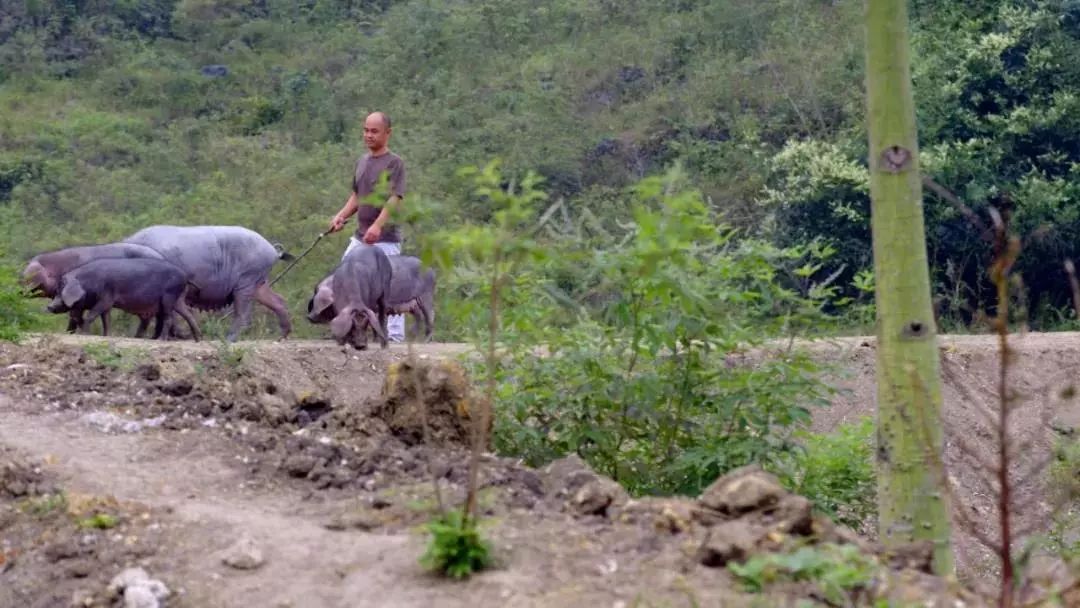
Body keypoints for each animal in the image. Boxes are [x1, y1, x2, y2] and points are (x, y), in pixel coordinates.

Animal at [44, 258, 203, 343]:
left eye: (60, 291)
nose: (49, 307)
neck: (87, 284)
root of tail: (185, 276)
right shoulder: (108, 304)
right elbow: (106, 320)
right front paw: (106, 336)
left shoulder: (106, 298)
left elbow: (92, 315)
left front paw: (83, 334)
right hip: (178, 298)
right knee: (189, 315)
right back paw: (198, 339)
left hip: (168, 297)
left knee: (168, 318)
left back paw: (159, 340)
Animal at [124, 224, 293, 343]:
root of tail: (272, 250)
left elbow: (168, 312)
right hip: (259, 282)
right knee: (279, 301)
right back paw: (281, 337)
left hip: (247, 281)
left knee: (242, 314)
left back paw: (229, 340)